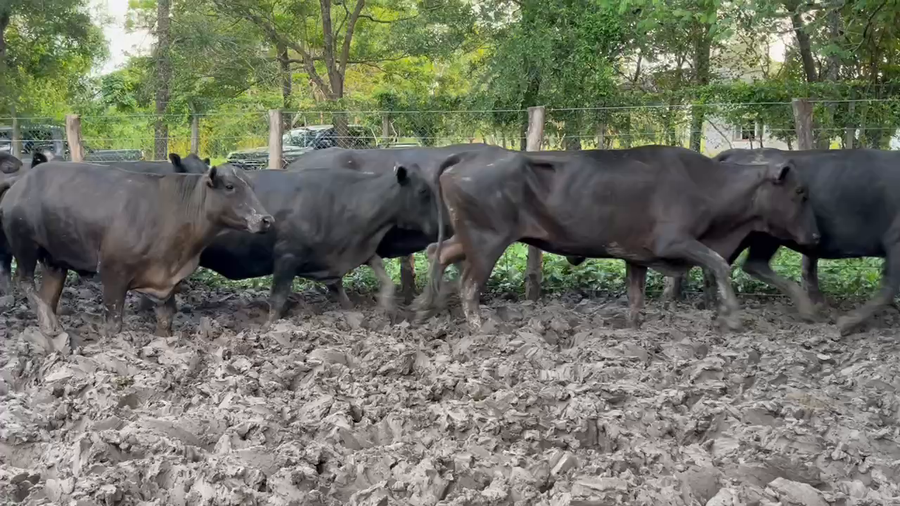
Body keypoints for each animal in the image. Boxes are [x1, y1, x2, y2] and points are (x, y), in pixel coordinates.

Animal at [0, 162, 272, 339]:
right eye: (229, 186)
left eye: (251, 186)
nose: (266, 219)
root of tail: (21, 180)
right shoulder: (113, 273)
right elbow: (114, 322)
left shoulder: (167, 281)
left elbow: (166, 318)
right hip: (24, 245)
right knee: (24, 281)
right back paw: (50, 325)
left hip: (54, 259)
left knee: (48, 294)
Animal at [194, 164, 439, 324]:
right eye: (423, 191)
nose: (440, 224)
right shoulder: (286, 256)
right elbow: (277, 298)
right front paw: (269, 326)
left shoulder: (341, 253)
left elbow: (367, 278)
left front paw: (383, 307)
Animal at [414, 145, 820, 331]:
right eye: (800, 192)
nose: (815, 236)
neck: (707, 186)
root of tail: (472, 152)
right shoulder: (674, 242)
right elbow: (719, 264)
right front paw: (732, 316)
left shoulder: (636, 255)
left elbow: (636, 295)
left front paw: (632, 325)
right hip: (487, 241)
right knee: (468, 284)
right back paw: (480, 326)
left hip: (471, 237)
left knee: (438, 251)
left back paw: (425, 305)